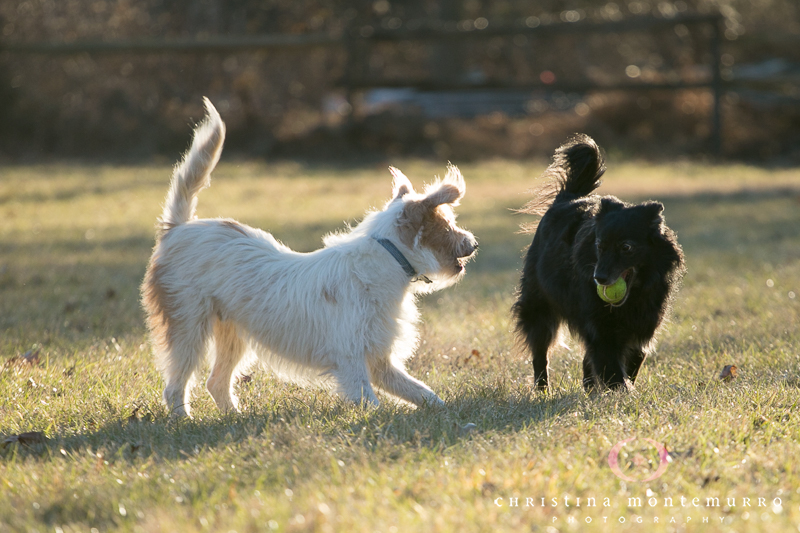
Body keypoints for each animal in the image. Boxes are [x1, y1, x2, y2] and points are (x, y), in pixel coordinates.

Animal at [139, 98, 476, 416]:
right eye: (447, 224)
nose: (472, 243)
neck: (387, 258)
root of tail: (178, 227)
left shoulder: (379, 361)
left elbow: (421, 392)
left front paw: (447, 412)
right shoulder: (351, 359)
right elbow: (369, 401)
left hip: (232, 334)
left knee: (216, 382)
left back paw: (234, 418)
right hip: (188, 330)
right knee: (176, 386)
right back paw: (183, 419)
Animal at [516, 135, 684, 388]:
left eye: (626, 247)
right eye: (599, 245)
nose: (599, 278)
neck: (633, 295)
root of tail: (567, 198)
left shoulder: (644, 324)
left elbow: (632, 360)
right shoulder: (601, 327)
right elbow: (612, 367)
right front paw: (623, 392)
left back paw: (588, 389)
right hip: (538, 305)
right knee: (540, 352)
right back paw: (543, 389)